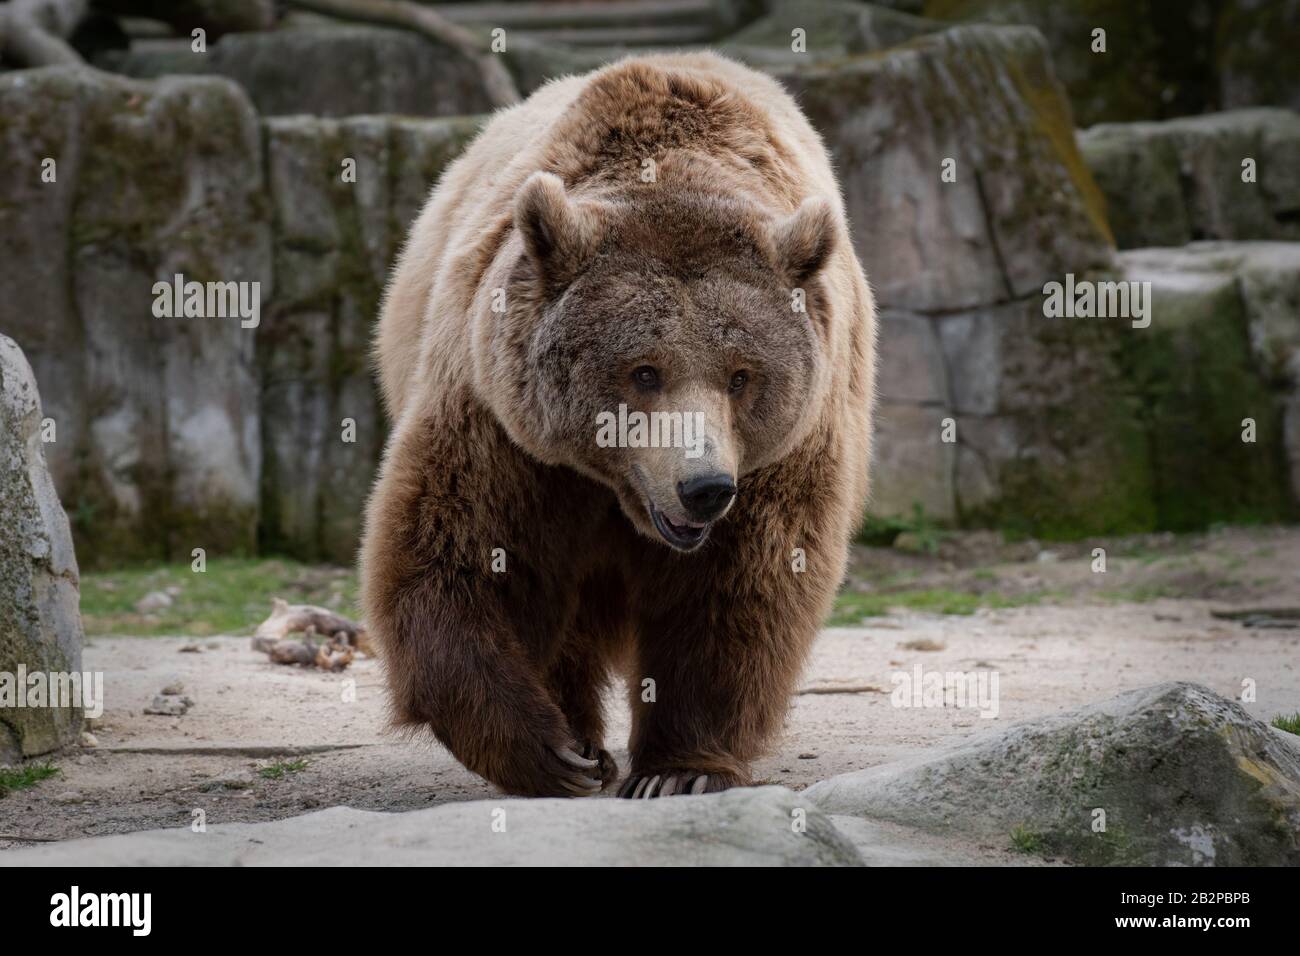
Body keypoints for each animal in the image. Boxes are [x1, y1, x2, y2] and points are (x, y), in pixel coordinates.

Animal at [361, 54, 878, 801]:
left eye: (741, 375)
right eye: (644, 370)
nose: (704, 487)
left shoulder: (786, 452)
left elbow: (737, 587)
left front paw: (679, 770)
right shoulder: (501, 424)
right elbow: (462, 554)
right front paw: (549, 751)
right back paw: (582, 738)